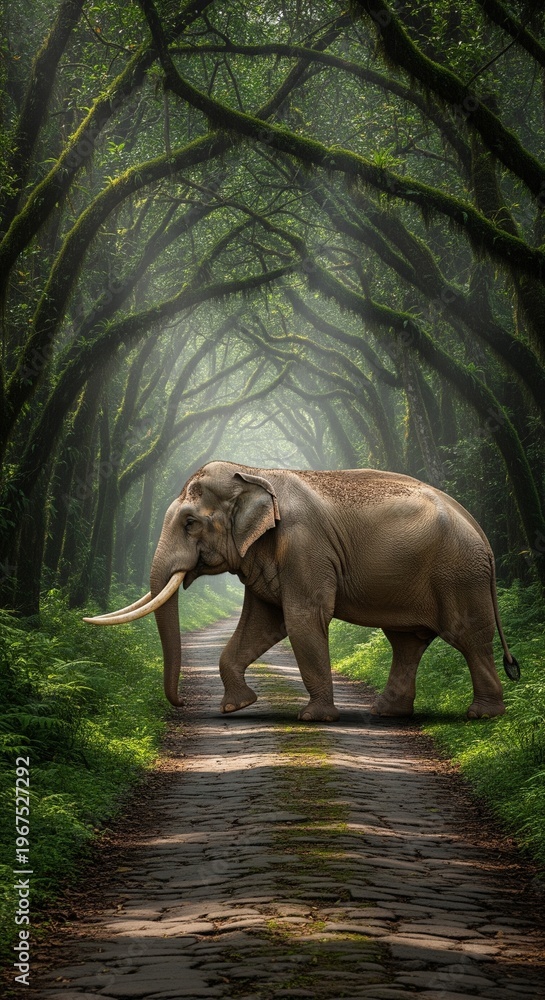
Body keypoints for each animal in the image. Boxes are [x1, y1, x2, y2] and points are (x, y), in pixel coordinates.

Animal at [85, 461, 520, 722]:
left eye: (190, 523)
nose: (183, 703)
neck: (254, 472)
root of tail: (479, 529)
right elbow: (263, 622)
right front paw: (236, 706)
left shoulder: (304, 545)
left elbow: (302, 618)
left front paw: (314, 718)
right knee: (406, 641)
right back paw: (386, 713)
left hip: (459, 575)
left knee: (468, 637)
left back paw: (482, 715)